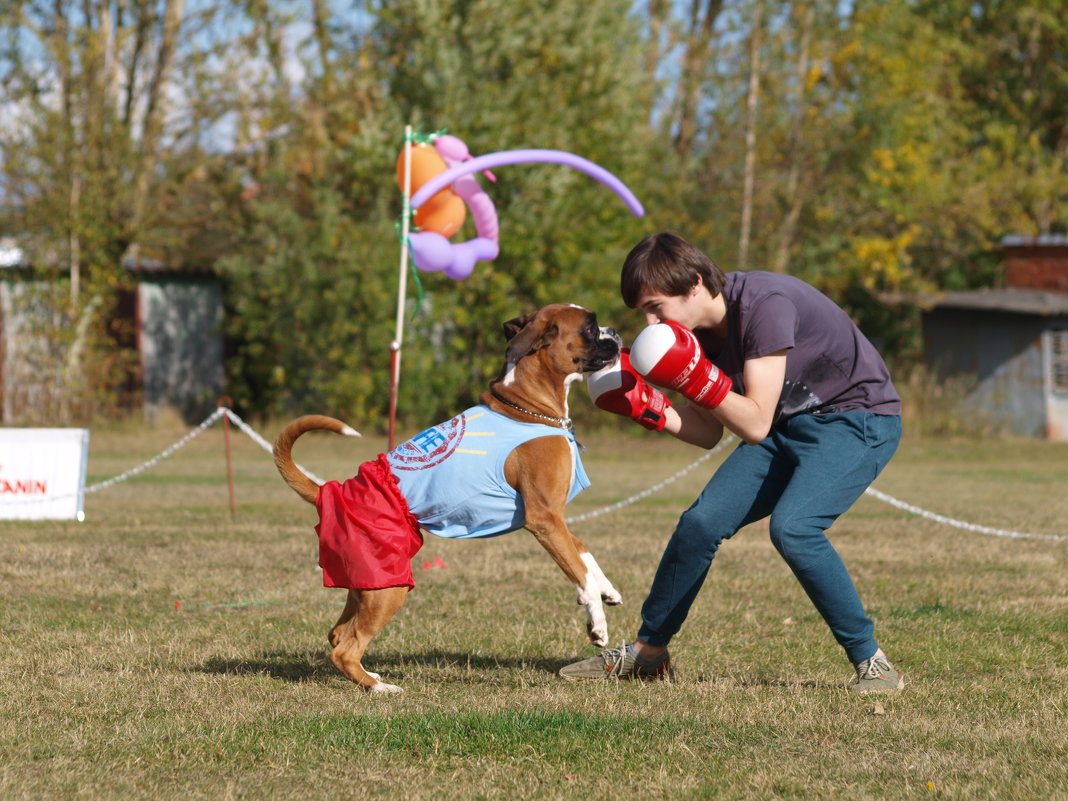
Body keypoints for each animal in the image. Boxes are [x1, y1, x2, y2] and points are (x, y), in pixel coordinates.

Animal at [275, 303, 623, 692]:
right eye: (590, 328)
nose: (615, 331)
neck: (527, 406)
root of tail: (332, 490)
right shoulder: (544, 518)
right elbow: (578, 569)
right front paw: (596, 622)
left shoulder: (556, 520)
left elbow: (583, 555)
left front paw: (607, 590)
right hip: (390, 589)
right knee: (344, 648)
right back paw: (380, 688)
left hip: (368, 583)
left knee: (337, 634)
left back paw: (371, 676)